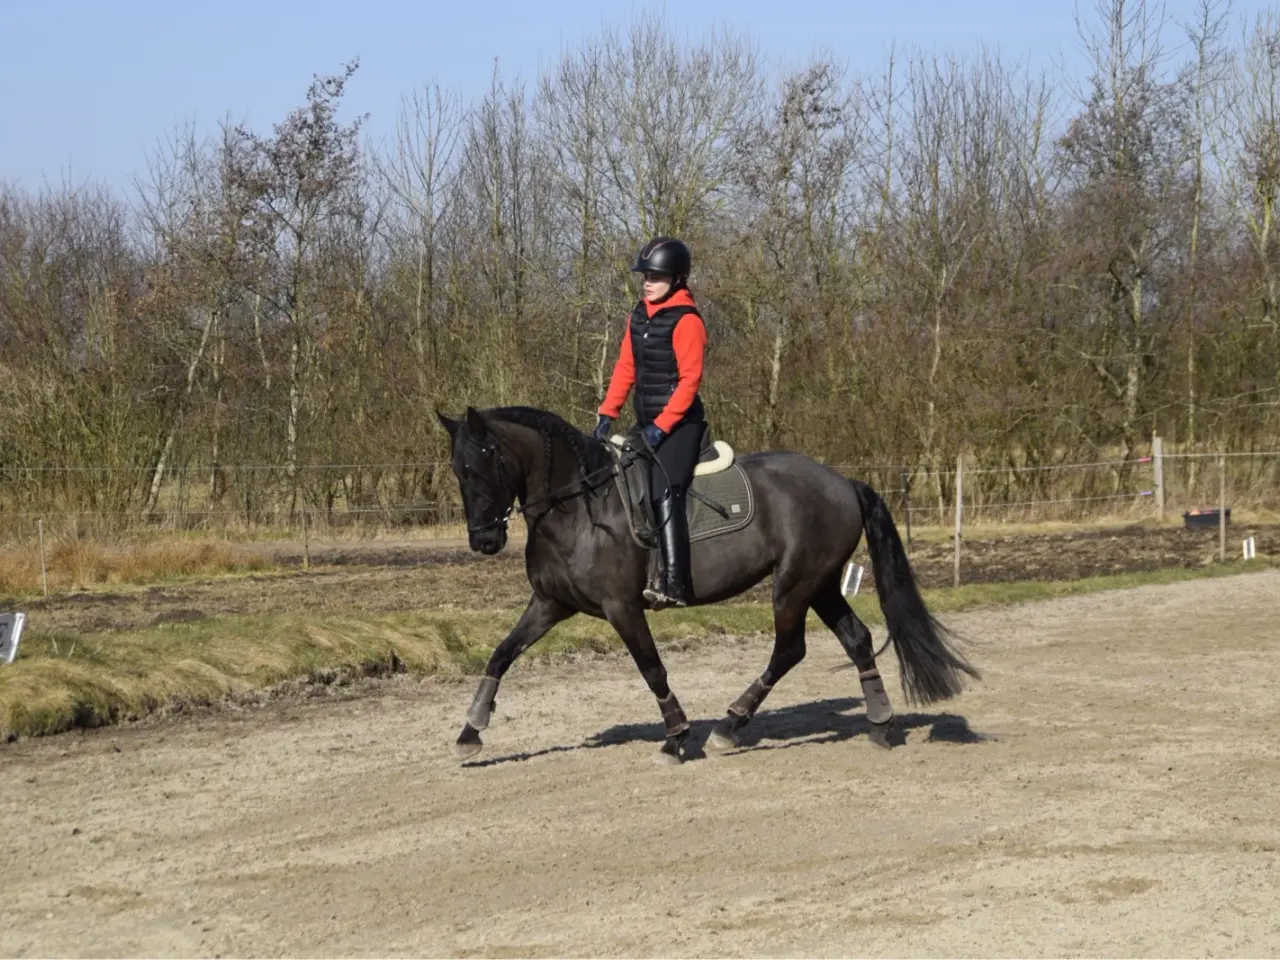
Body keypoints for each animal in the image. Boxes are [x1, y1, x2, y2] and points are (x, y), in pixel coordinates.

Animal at [436, 404, 979, 765]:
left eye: (486, 463)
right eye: (458, 471)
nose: (483, 541)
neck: (578, 508)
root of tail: (843, 482)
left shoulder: (622, 607)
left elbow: (652, 668)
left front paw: (677, 736)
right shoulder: (550, 603)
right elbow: (501, 654)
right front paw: (471, 730)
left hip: (794, 585)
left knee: (790, 650)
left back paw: (729, 725)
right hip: (822, 584)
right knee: (856, 639)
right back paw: (880, 723)